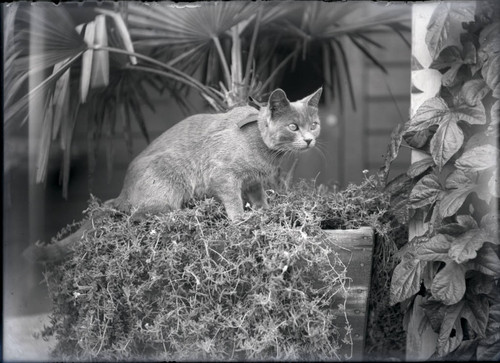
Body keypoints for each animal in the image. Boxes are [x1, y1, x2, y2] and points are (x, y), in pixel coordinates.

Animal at [23, 86, 322, 262]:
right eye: (293, 127)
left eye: (314, 124)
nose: (310, 140)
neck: (263, 148)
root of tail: (122, 193)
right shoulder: (223, 175)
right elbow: (234, 202)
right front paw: (241, 223)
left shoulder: (252, 181)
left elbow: (259, 199)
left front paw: (264, 214)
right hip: (170, 180)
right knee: (140, 214)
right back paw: (185, 214)